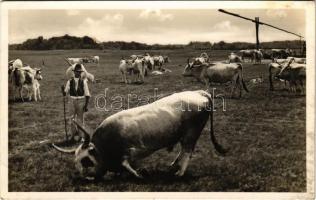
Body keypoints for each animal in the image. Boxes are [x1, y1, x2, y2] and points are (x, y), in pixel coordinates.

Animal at [51, 90, 226, 180]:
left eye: (86, 159)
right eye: (75, 160)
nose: (83, 177)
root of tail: (199, 93)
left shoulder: (129, 151)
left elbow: (126, 165)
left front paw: (139, 173)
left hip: (191, 134)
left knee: (188, 151)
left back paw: (180, 172)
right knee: (183, 151)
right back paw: (173, 165)